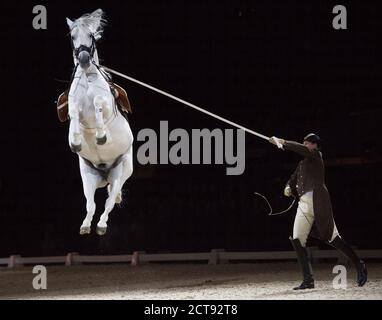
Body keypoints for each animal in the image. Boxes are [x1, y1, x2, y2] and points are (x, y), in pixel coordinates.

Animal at [64, 9, 133, 235]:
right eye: (72, 36)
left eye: (91, 35)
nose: (84, 58)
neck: (87, 77)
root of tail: (104, 175)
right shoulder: (73, 103)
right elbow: (74, 112)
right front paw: (76, 142)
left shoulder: (106, 104)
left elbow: (98, 103)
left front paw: (101, 136)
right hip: (88, 176)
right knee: (91, 204)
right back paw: (86, 225)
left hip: (120, 174)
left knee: (109, 202)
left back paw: (101, 225)